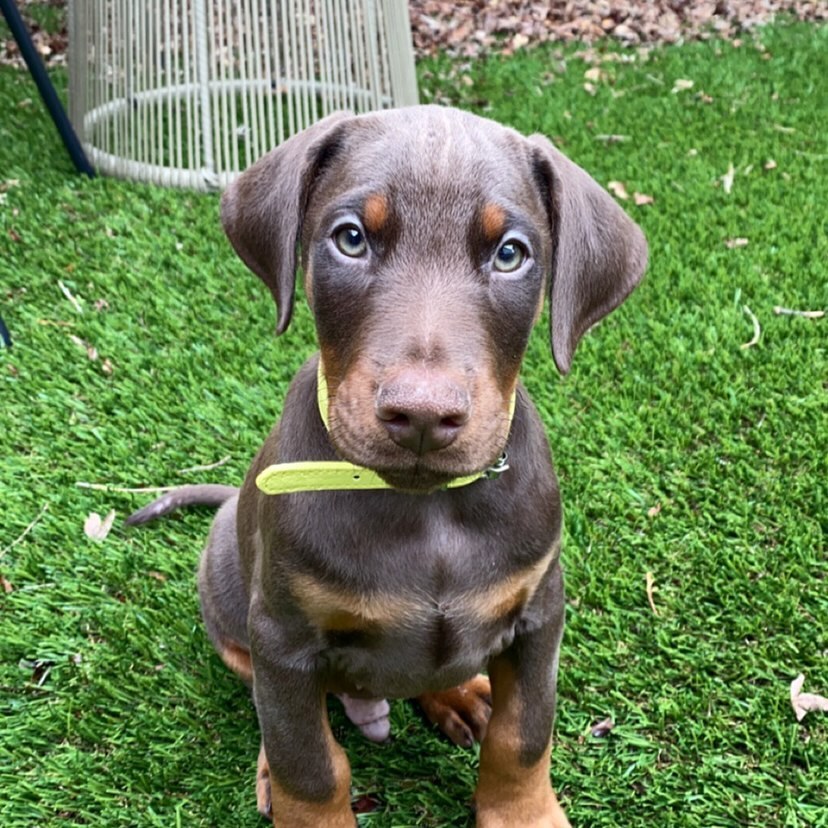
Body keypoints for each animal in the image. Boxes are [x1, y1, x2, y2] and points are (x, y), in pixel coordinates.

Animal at [129, 106, 648, 824]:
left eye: (510, 253)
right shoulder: (284, 638)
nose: (423, 414)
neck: (426, 506)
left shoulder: (541, 612)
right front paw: (301, 797)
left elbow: (523, 735)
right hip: (228, 593)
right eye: (350, 239)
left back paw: (459, 694)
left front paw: (524, 812)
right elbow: (310, 763)